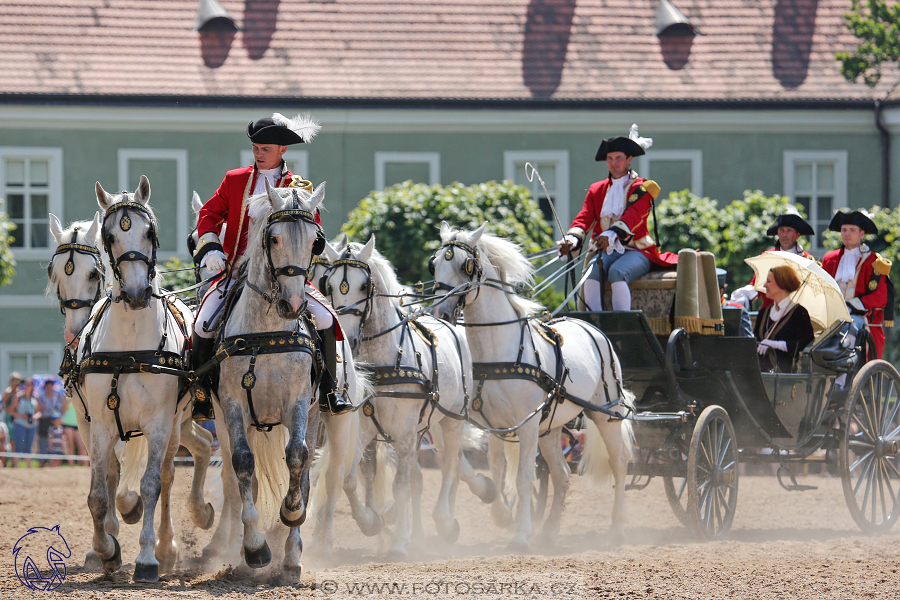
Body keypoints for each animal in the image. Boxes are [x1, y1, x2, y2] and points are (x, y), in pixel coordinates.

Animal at [73, 177, 196, 580]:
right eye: (109, 236)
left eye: (150, 232)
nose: (139, 292)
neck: (129, 350)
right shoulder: (99, 424)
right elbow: (98, 493)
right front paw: (107, 551)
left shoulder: (158, 422)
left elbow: (151, 485)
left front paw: (146, 558)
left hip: (176, 426)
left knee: (168, 476)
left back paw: (165, 547)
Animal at [320, 233, 496, 556]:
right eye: (330, 286)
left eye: (364, 286)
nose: (347, 339)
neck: (386, 359)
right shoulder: (365, 429)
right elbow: (350, 479)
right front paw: (371, 522)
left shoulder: (403, 431)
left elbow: (400, 485)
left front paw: (399, 542)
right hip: (421, 430)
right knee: (421, 477)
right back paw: (419, 534)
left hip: (451, 420)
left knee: (450, 466)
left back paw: (445, 522)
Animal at [428, 223, 632, 552]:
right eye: (434, 264)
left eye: (465, 266)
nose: (439, 313)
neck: (501, 349)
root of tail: (593, 328)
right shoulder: (494, 425)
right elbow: (495, 469)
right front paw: (502, 514)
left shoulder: (527, 424)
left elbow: (524, 478)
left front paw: (521, 534)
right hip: (550, 428)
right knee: (562, 475)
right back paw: (549, 531)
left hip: (605, 413)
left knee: (619, 463)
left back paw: (617, 527)